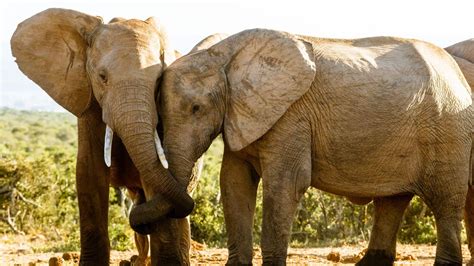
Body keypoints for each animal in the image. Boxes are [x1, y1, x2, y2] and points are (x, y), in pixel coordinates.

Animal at [128, 28, 472, 264]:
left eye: (197, 109)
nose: (141, 221)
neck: (224, 55)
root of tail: (455, 72)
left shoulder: (291, 116)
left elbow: (285, 185)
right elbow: (234, 184)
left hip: (448, 132)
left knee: (445, 205)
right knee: (392, 202)